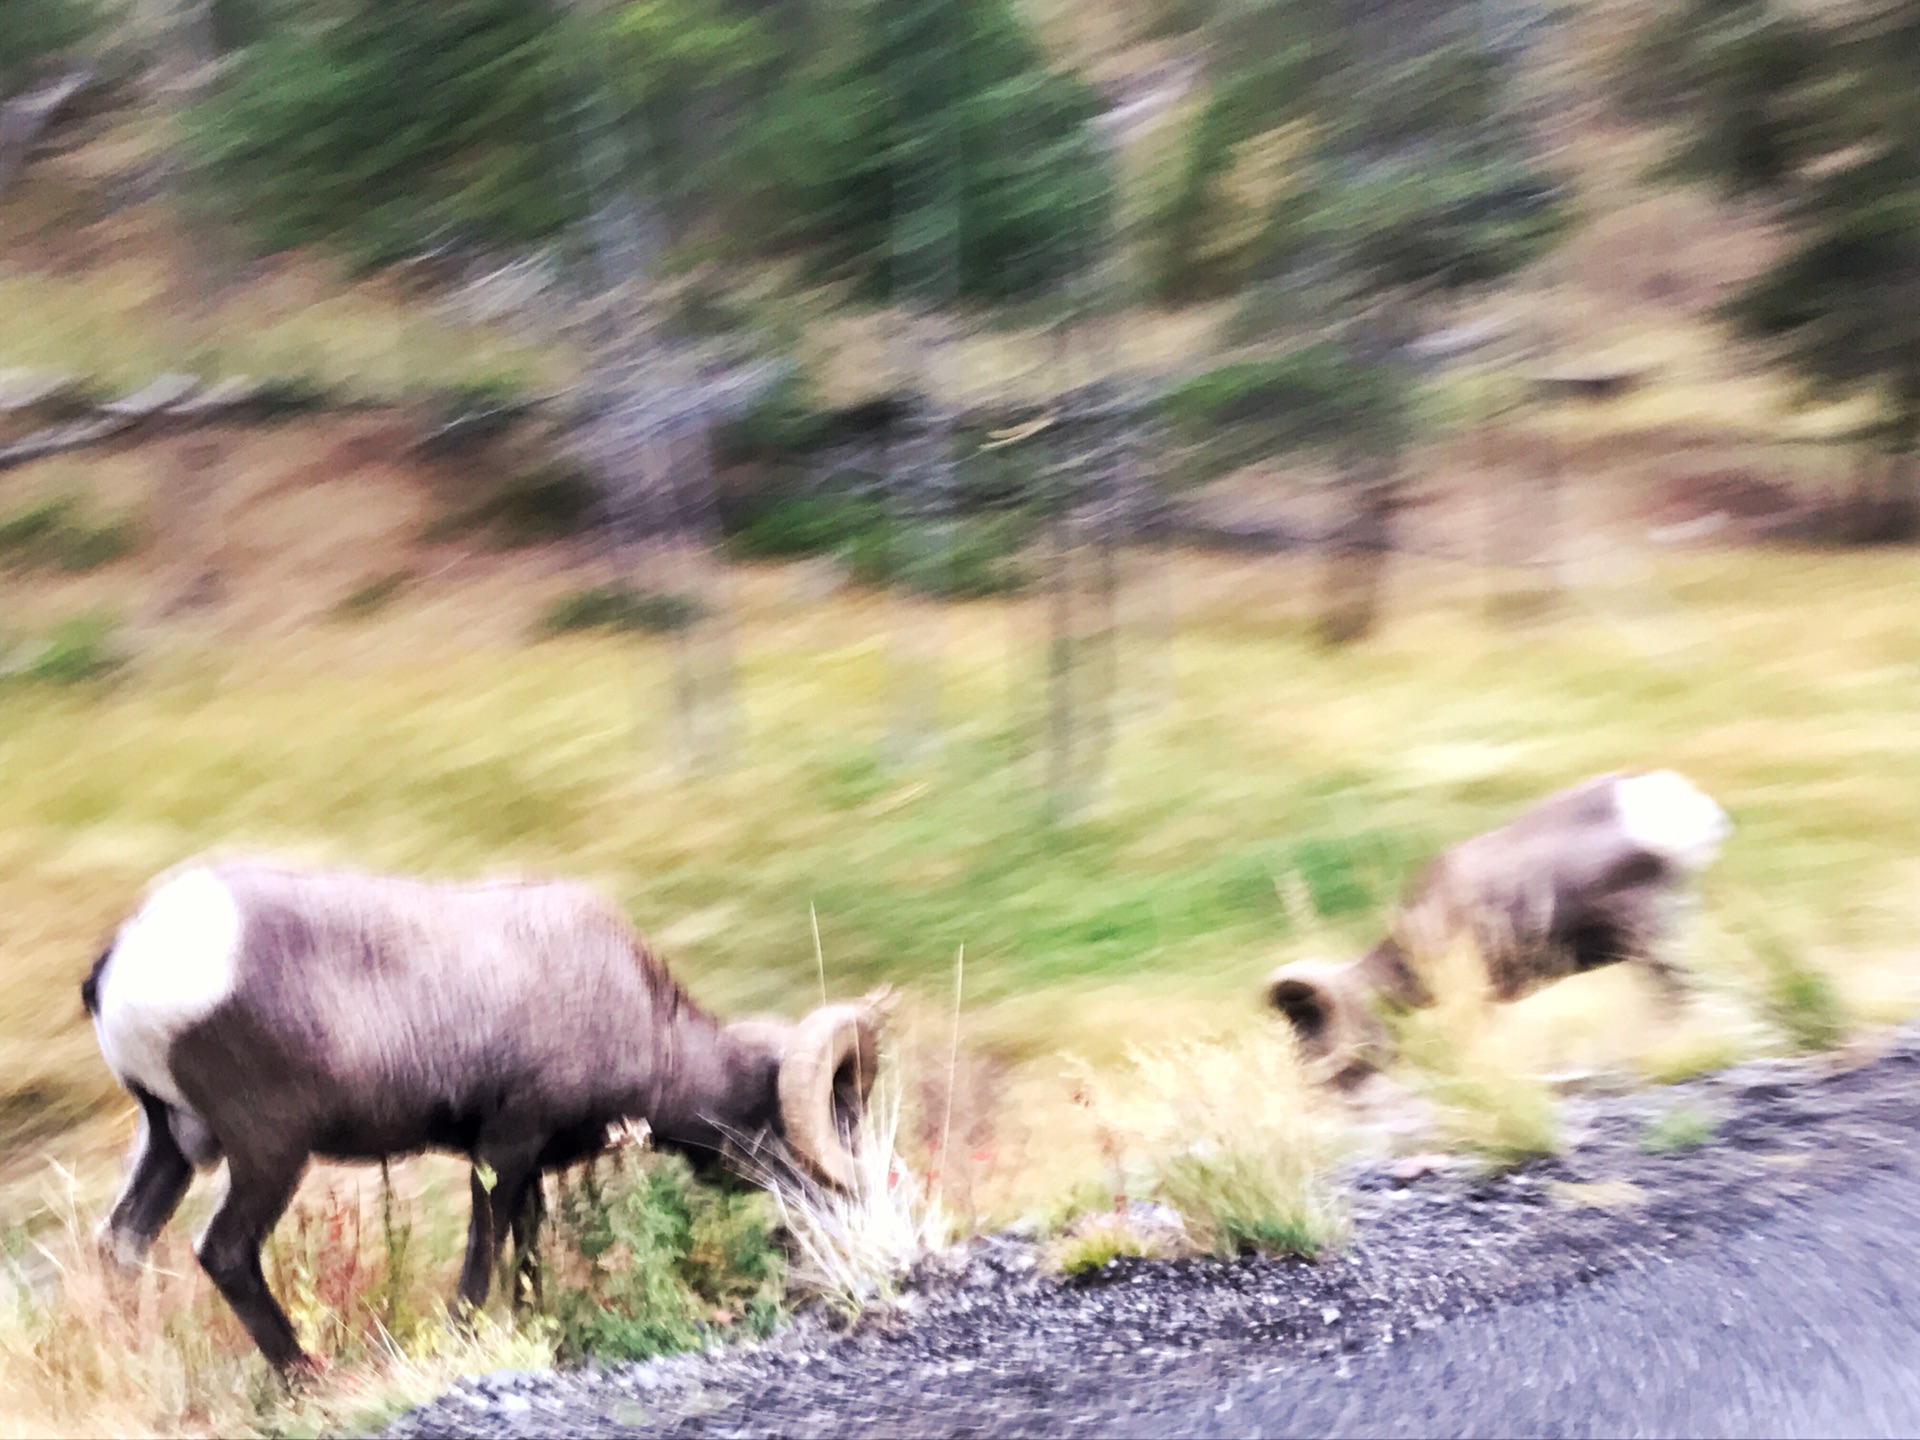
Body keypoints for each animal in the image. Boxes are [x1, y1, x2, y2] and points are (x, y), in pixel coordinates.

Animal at [76, 856, 883, 1374]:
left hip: (170, 1146)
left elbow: (526, 1253)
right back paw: (307, 1378)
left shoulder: (528, 1168)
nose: (859, 1205)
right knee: (224, 1253)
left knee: (121, 1245)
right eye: (824, 1120)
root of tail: (124, 956)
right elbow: (481, 1257)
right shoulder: (503, 1152)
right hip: (268, 1155)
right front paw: (465, 1342)